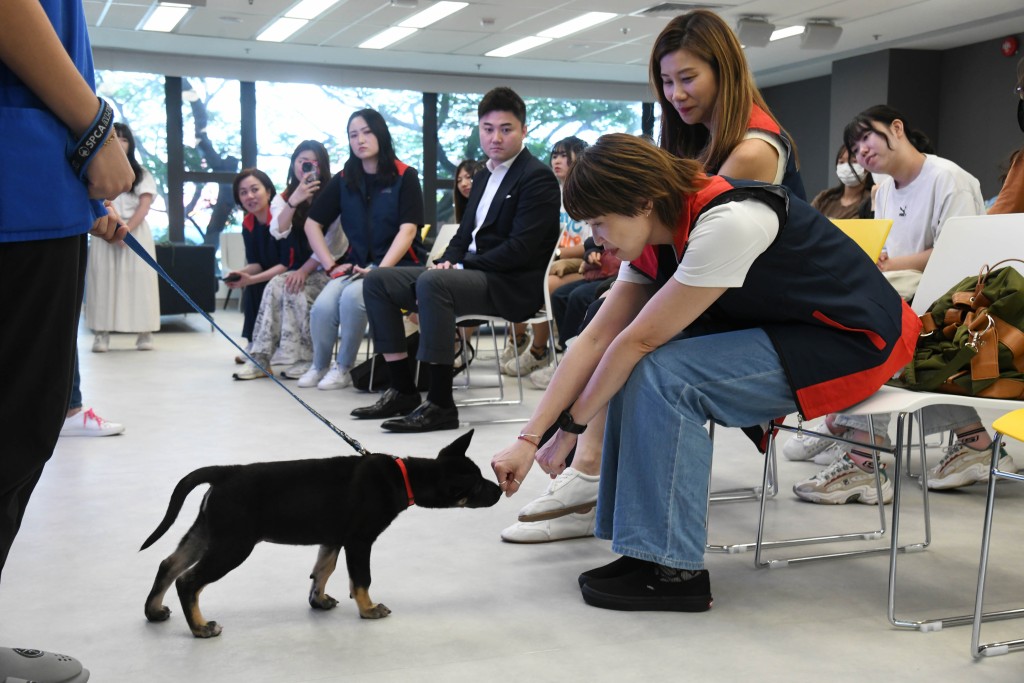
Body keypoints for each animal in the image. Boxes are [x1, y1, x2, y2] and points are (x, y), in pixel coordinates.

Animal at [140, 430, 499, 638]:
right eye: (478, 485)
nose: (499, 488)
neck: (404, 477)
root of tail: (225, 473)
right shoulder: (359, 541)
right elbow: (361, 579)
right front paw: (368, 610)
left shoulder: (333, 538)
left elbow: (323, 570)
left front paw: (319, 600)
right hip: (233, 545)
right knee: (188, 580)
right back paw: (200, 627)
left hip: (207, 532)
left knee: (168, 566)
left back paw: (154, 612)